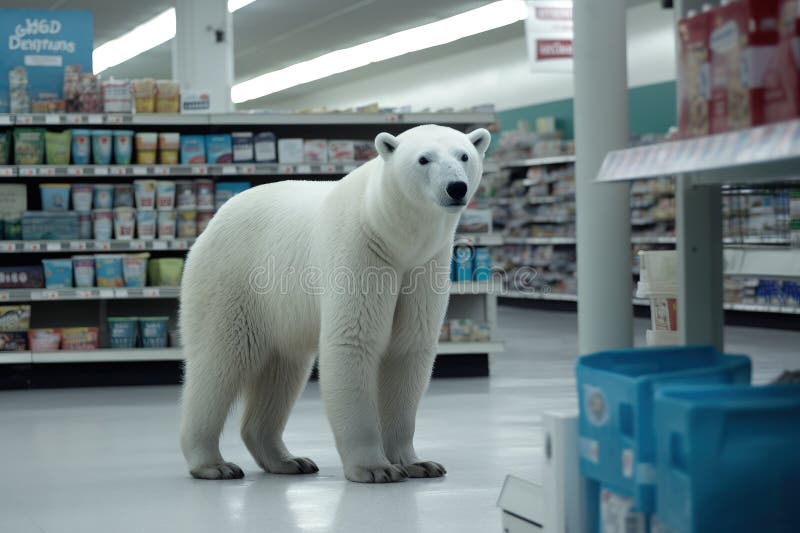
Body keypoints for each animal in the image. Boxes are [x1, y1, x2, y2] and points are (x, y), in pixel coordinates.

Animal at [179, 124, 491, 483]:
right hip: (233, 281)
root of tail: (216, 217)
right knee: (218, 362)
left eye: (464, 155)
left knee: (281, 372)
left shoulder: (424, 266)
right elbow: (353, 340)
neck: (390, 232)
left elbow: (408, 348)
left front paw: (418, 463)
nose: (456, 187)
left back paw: (290, 460)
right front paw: (374, 468)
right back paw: (213, 463)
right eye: (424, 159)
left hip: (280, 312)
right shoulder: (360, 250)